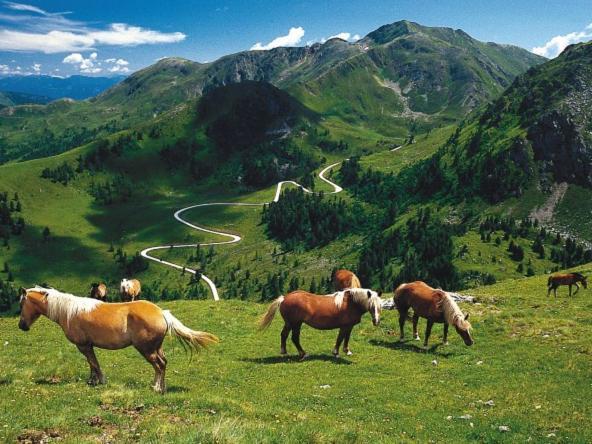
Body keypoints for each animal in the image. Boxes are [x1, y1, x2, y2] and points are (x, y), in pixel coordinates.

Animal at [17, 286, 219, 394]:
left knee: (159, 365)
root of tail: (161, 313)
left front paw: (97, 381)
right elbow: (92, 364)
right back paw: (160, 386)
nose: (21, 326)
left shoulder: (83, 346)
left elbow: (93, 363)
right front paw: (93, 381)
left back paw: (156, 388)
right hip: (156, 347)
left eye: (22, 303)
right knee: (163, 363)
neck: (69, 311)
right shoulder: (88, 346)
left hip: (146, 349)